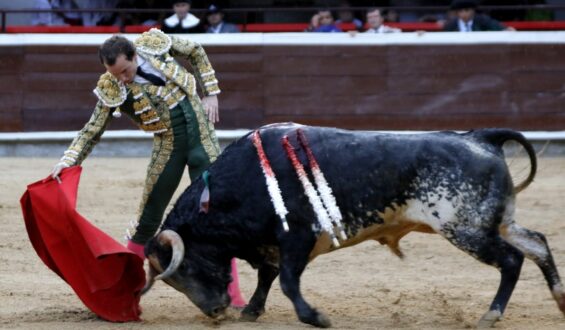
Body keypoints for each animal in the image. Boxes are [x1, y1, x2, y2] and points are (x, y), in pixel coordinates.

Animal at [141, 123, 564, 328]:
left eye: (185, 269)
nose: (215, 312)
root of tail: (481, 138)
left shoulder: (297, 237)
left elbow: (287, 281)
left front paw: (315, 317)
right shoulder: (274, 244)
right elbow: (267, 276)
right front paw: (252, 312)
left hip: (466, 229)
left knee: (511, 261)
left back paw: (491, 315)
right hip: (496, 223)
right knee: (538, 243)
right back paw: (559, 300)